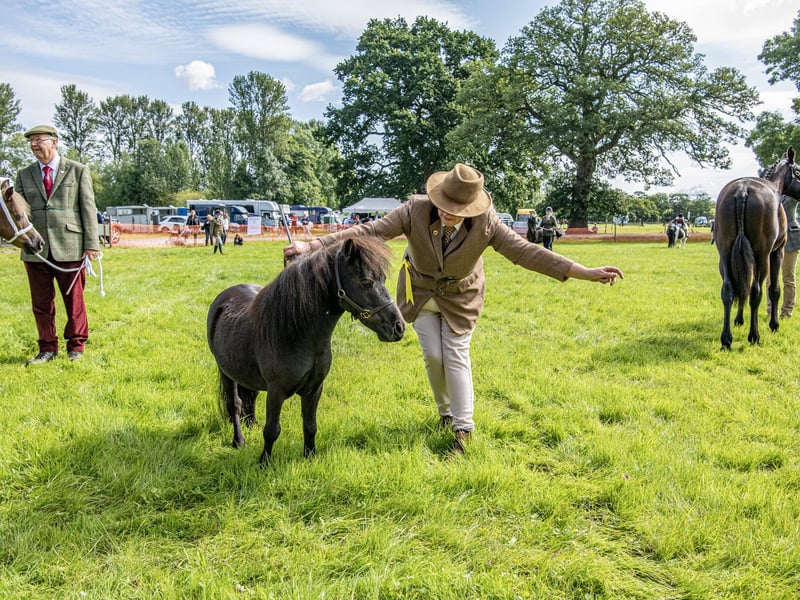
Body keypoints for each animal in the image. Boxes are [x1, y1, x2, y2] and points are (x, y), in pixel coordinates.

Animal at [207, 236, 405, 464]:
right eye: (365, 281)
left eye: (383, 278)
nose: (398, 327)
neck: (297, 334)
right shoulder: (276, 391)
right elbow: (272, 430)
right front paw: (264, 462)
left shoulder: (314, 388)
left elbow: (310, 426)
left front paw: (310, 456)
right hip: (226, 372)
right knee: (235, 405)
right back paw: (238, 441)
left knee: (251, 396)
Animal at [714, 147, 800, 349]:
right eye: (799, 172)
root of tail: (742, 191)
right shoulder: (776, 252)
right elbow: (774, 289)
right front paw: (774, 324)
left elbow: (741, 285)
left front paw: (738, 319)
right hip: (763, 255)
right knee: (756, 291)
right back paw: (754, 335)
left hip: (726, 253)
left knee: (729, 288)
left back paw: (726, 339)